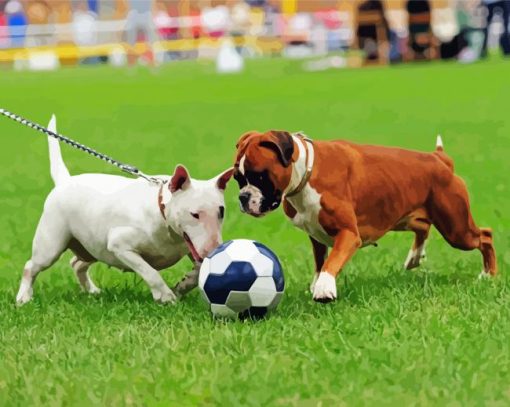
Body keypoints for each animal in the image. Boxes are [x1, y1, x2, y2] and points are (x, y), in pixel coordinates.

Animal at [15, 115, 235, 306]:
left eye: (221, 212)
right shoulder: (120, 245)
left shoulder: (189, 245)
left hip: (91, 245)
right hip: (51, 244)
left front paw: (183, 285)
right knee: (31, 267)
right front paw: (166, 296)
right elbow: (150, 272)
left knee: (77, 263)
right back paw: (23, 298)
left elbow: (199, 271)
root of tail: (64, 181)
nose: (214, 250)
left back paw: (92, 291)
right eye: (194, 214)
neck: (162, 214)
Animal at [234, 131, 498, 302]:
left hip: (456, 229)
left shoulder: (349, 234)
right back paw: (414, 257)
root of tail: (439, 159)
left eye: (260, 176)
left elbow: (332, 261)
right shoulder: (316, 236)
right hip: (405, 215)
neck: (305, 173)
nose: (243, 197)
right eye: (237, 178)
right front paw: (317, 282)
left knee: (485, 236)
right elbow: (320, 261)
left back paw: (489, 275)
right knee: (423, 227)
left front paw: (324, 287)